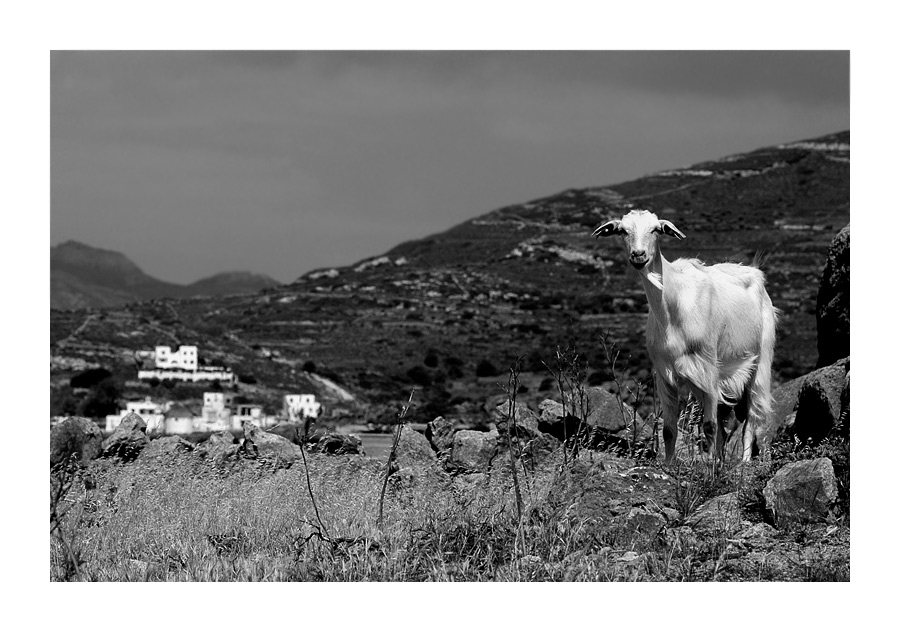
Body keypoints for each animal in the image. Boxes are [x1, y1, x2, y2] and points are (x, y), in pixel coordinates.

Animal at [596, 210, 776, 462]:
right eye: (622, 230)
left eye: (655, 229)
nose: (638, 255)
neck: (673, 307)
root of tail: (755, 272)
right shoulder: (665, 374)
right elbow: (669, 429)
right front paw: (670, 464)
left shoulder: (708, 369)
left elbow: (709, 426)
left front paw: (709, 466)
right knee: (725, 424)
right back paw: (721, 460)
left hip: (759, 363)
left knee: (750, 418)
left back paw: (744, 461)